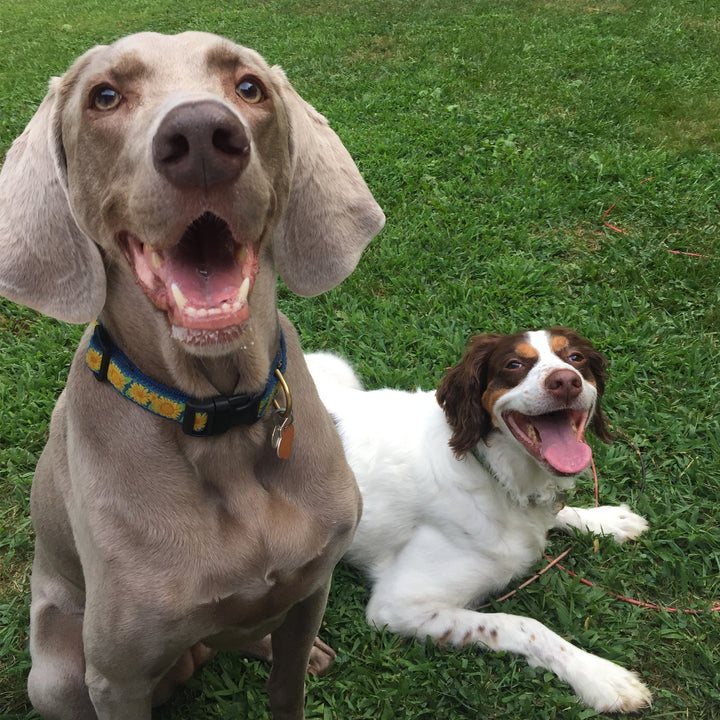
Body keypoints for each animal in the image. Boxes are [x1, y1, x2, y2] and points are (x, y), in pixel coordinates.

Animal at [0, 32, 386, 720]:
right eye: (105, 96)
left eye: (249, 87)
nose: (203, 136)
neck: (220, 413)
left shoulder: (312, 585)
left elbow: (287, 687)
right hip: (58, 673)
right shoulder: (117, 676)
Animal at [308, 330, 652, 712]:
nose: (565, 381)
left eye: (576, 358)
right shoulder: (397, 606)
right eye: (513, 364)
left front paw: (607, 520)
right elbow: (523, 625)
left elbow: (562, 513)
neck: (493, 471)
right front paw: (598, 675)